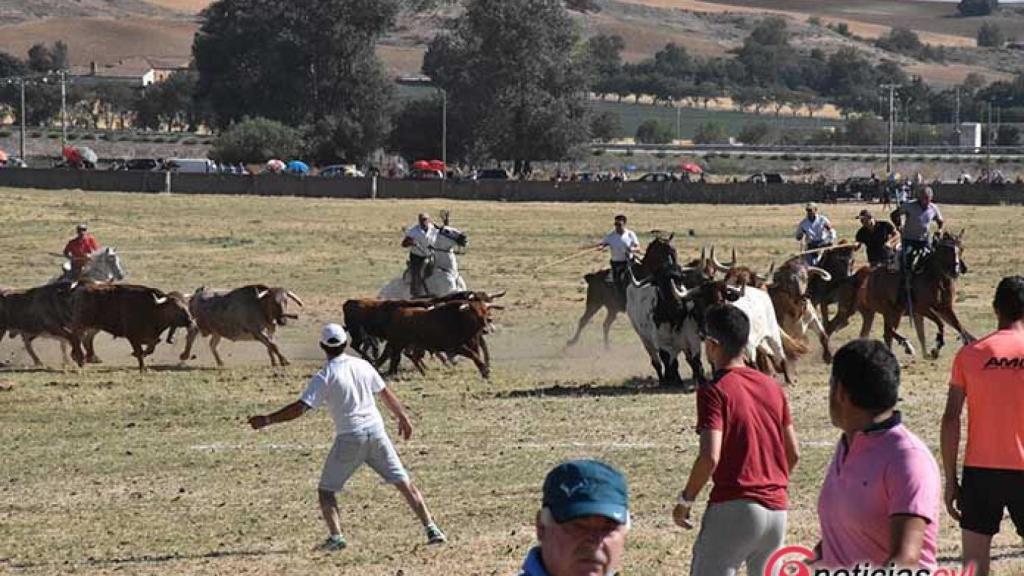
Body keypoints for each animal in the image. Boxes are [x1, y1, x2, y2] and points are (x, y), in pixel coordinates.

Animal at [823, 227, 974, 354]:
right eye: (946, 250)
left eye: (961, 248)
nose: (956, 270)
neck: (934, 278)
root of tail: (854, 277)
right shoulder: (922, 308)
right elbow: (940, 323)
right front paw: (936, 347)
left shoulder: (945, 308)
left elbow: (959, 326)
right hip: (851, 310)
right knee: (831, 327)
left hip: (876, 312)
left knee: (881, 332)